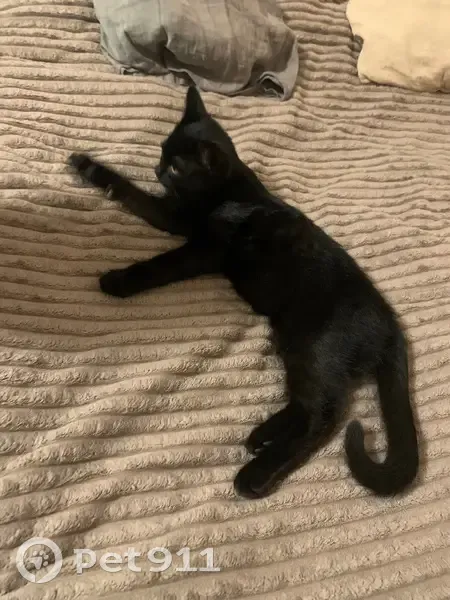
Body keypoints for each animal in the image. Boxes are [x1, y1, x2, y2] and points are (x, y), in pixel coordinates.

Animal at [68, 86, 419, 499]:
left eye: (176, 168)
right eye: (161, 151)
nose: (157, 170)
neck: (228, 189)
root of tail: (390, 323)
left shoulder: (197, 244)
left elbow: (159, 262)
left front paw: (119, 281)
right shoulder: (175, 215)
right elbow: (131, 192)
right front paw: (86, 165)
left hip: (314, 346)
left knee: (324, 415)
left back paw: (255, 474)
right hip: (293, 342)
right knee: (309, 405)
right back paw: (260, 436)